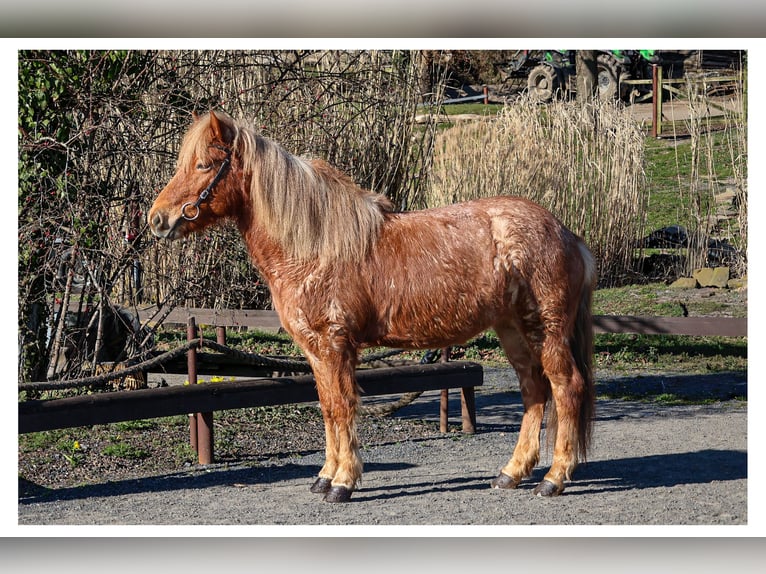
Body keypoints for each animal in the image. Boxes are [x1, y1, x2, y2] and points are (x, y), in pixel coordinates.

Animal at [148, 110, 597, 503]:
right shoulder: (316, 353)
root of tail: (566, 233)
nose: (157, 219)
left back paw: (554, 478)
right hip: (513, 331)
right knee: (534, 391)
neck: (314, 248)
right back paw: (511, 473)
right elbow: (328, 409)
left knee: (566, 388)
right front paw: (325, 477)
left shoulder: (334, 346)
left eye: (205, 165)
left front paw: (343, 483)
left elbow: (344, 407)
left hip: (546, 331)